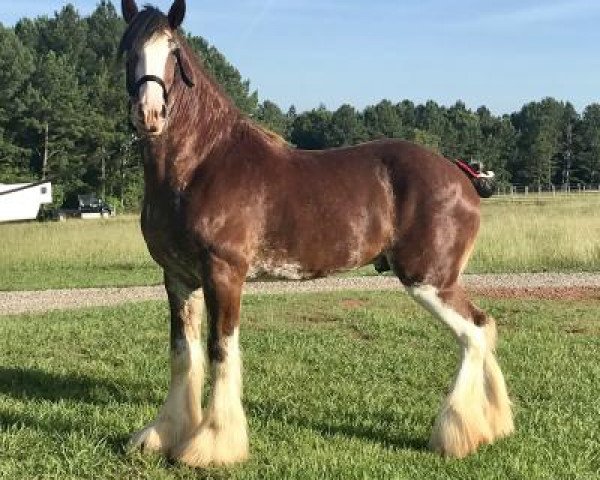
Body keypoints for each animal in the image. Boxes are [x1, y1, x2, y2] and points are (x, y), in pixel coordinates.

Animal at [119, 0, 512, 464]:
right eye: (127, 50)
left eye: (173, 51)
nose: (150, 115)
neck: (203, 162)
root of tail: (461, 174)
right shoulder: (179, 278)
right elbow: (183, 354)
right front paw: (163, 435)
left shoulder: (223, 274)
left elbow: (220, 350)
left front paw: (212, 445)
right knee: (483, 328)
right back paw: (492, 425)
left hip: (429, 280)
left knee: (474, 333)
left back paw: (455, 435)